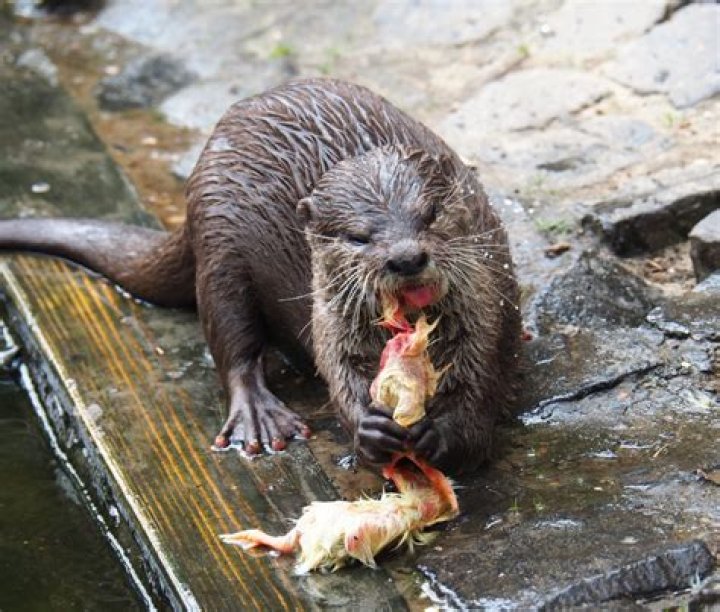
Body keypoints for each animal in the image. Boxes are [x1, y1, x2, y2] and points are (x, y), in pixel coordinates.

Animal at [0, 79, 520, 474]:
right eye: (358, 237)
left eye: (430, 215)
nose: (407, 257)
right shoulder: (330, 322)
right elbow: (338, 374)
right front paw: (369, 428)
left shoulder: (488, 311)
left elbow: (483, 386)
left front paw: (446, 432)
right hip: (219, 250)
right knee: (232, 344)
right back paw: (258, 418)